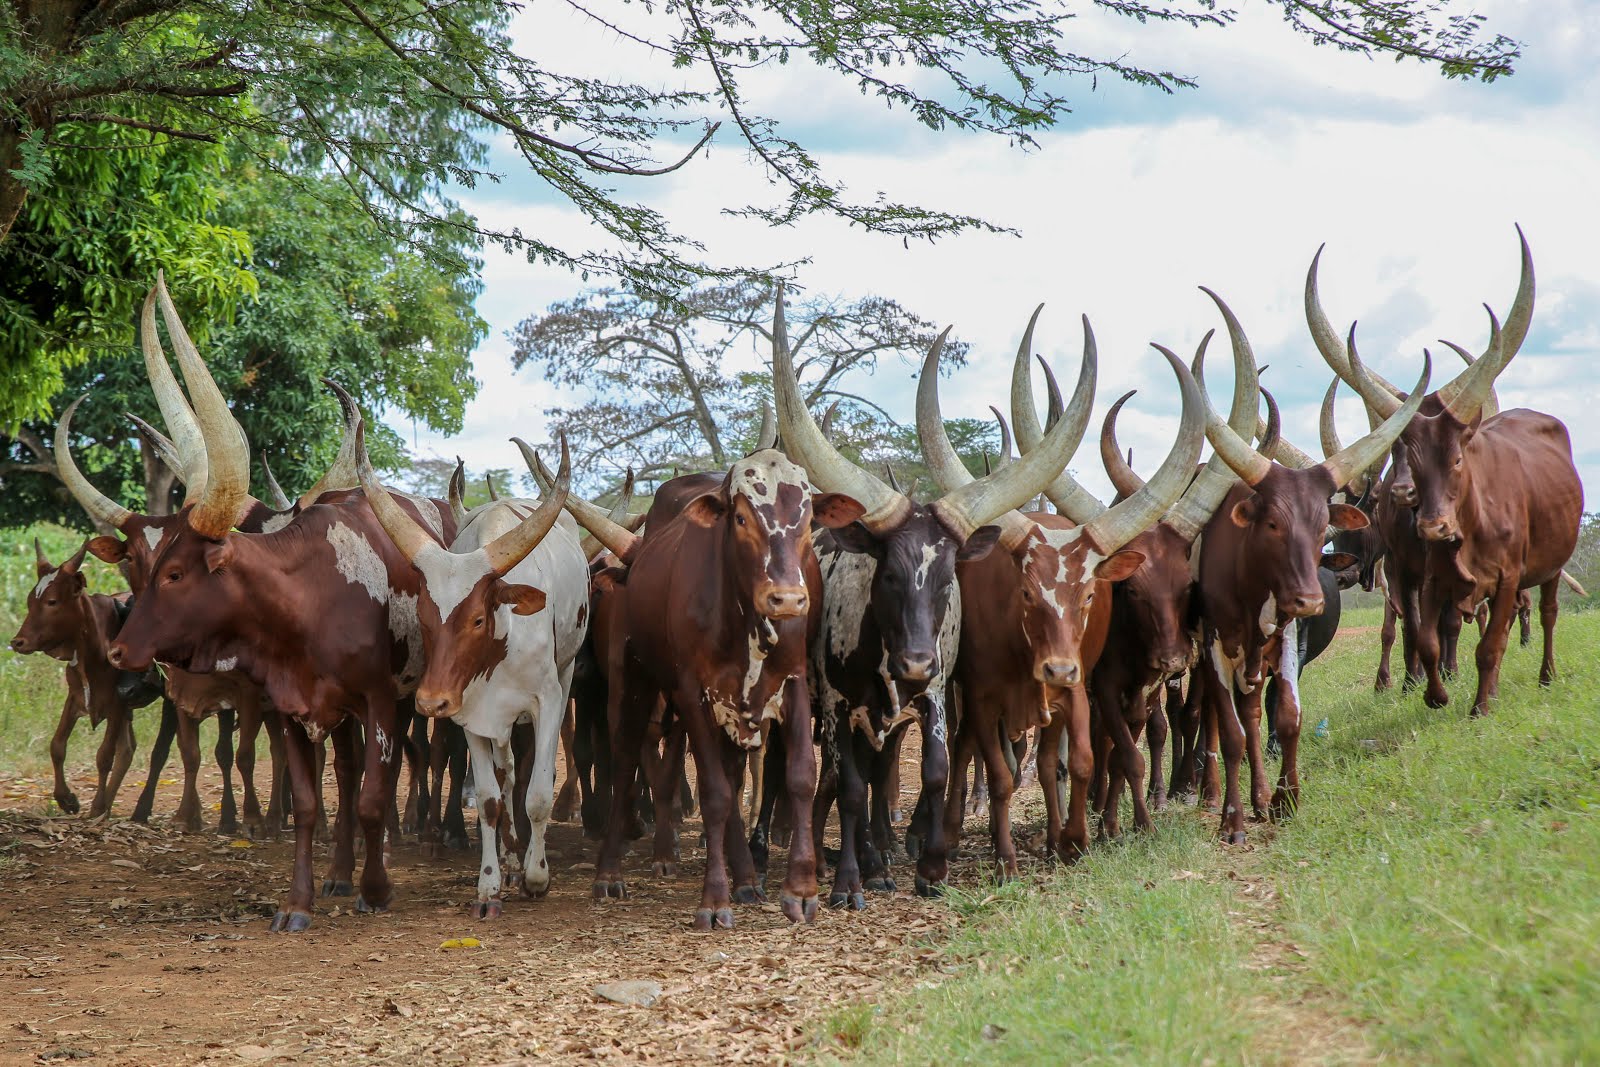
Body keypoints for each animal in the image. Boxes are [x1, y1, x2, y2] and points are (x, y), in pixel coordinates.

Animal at [359, 433, 588, 919]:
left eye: (478, 619)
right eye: (424, 617)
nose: (430, 701)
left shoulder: (547, 702)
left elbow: (537, 794)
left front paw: (537, 876)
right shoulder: (472, 714)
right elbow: (489, 800)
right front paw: (490, 885)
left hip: (565, 673)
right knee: (506, 775)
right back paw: (509, 857)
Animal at [924, 309, 1206, 869]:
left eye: (1091, 596)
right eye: (1027, 593)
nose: (1056, 667)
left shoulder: (1081, 687)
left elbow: (1084, 759)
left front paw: (1079, 837)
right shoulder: (985, 696)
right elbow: (1001, 772)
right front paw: (1005, 857)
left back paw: (1056, 833)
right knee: (968, 750)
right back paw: (951, 834)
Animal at [1190, 288, 1429, 841]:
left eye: (1323, 525)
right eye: (1272, 524)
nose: (1311, 598)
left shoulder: (1283, 641)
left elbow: (1287, 717)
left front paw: (1284, 799)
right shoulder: (1215, 645)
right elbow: (1230, 733)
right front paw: (1233, 820)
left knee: (1256, 712)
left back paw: (1259, 794)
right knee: (1229, 719)